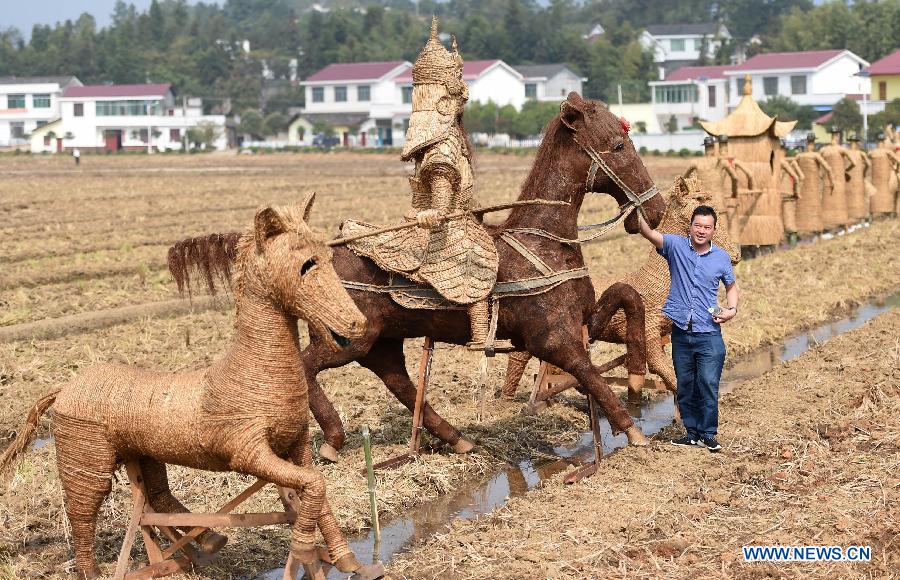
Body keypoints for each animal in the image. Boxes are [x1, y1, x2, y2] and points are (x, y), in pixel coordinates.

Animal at [0, 196, 370, 580]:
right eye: (305, 265)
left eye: (328, 257)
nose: (357, 324)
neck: (253, 373)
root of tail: (64, 389)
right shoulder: (248, 453)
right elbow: (315, 486)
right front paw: (304, 549)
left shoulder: (296, 445)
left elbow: (318, 489)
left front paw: (347, 559)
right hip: (87, 462)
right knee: (82, 513)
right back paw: (96, 572)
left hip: (146, 454)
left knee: (155, 496)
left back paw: (208, 541)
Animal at [167, 93, 660, 460]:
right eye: (618, 147)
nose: (653, 210)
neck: (544, 240)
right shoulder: (551, 338)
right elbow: (590, 372)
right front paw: (632, 429)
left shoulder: (582, 319)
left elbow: (629, 298)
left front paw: (638, 381)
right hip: (347, 341)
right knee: (309, 369)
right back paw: (334, 439)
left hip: (382, 341)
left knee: (399, 382)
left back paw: (456, 438)